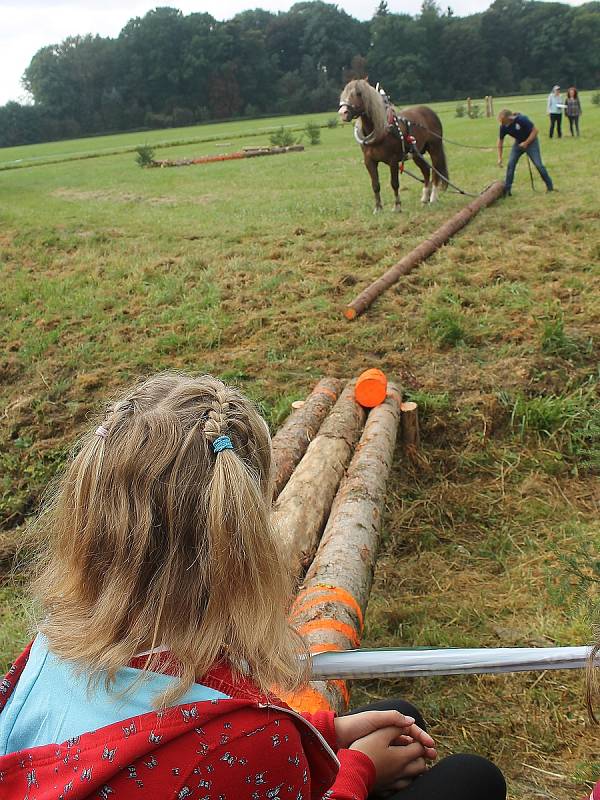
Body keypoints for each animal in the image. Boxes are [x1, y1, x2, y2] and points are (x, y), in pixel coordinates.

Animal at [340, 79, 448, 212]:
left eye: (359, 93)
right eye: (345, 92)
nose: (343, 113)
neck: (382, 131)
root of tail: (430, 111)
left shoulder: (393, 160)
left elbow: (394, 183)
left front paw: (397, 206)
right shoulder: (369, 161)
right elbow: (375, 185)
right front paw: (378, 208)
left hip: (435, 149)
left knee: (436, 172)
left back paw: (433, 198)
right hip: (417, 153)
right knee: (426, 171)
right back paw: (424, 198)